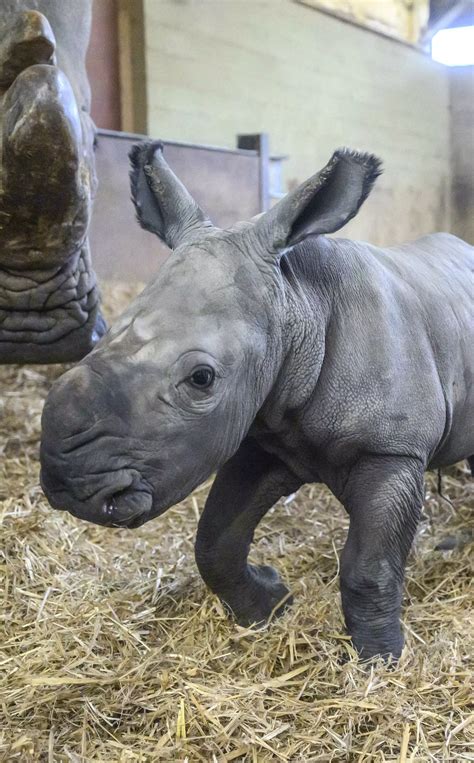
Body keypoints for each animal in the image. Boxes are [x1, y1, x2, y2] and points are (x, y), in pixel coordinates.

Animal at [41, 143, 474, 664]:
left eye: (202, 379)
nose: (68, 484)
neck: (300, 304)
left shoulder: (392, 448)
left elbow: (370, 567)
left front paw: (380, 661)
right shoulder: (266, 435)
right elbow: (215, 540)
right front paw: (270, 604)